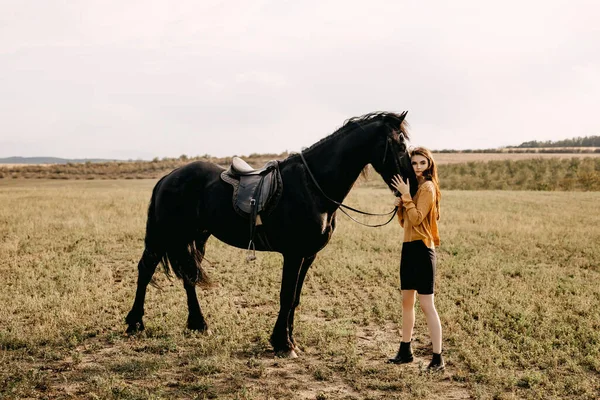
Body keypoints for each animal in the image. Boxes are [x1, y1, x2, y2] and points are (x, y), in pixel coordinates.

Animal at [125, 111, 418, 358]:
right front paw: (283, 344)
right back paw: (135, 323)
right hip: (162, 235)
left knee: (189, 276)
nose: (413, 185)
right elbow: (286, 296)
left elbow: (295, 298)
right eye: (399, 144)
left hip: (196, 237)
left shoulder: (308, 255)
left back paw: (198, 323)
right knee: (146, 269)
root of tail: (169, 176)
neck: (312, 186)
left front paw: (289, 340)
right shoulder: (294, 254)